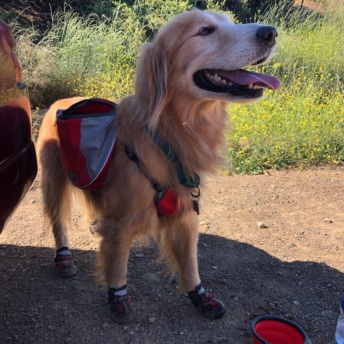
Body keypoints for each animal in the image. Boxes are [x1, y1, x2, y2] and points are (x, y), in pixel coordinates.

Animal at [37, 9, 280, 324]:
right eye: (204, 31)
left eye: (230, 21)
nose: (271, 32)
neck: (169, 134)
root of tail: (58, 101)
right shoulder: (121, 223)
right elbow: (118, 265)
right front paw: (119, 299)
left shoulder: (186, 212)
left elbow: (190, 263)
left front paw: (200, 297)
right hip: (54, 180)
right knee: (58, 222)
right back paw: (64, 256)